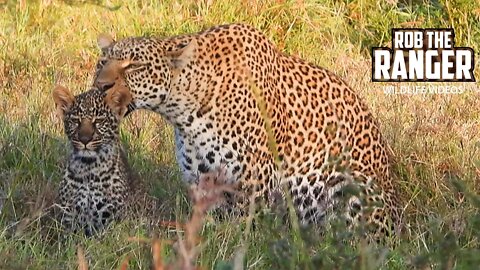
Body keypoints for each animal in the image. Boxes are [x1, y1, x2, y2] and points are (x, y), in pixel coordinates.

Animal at [92, 24, 400, 237]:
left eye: (135, 66)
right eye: (102, 63)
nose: (101, 85)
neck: (183, 111)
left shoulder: (255, 180)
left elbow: (244, 230)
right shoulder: (202, 180)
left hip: (348, 186)